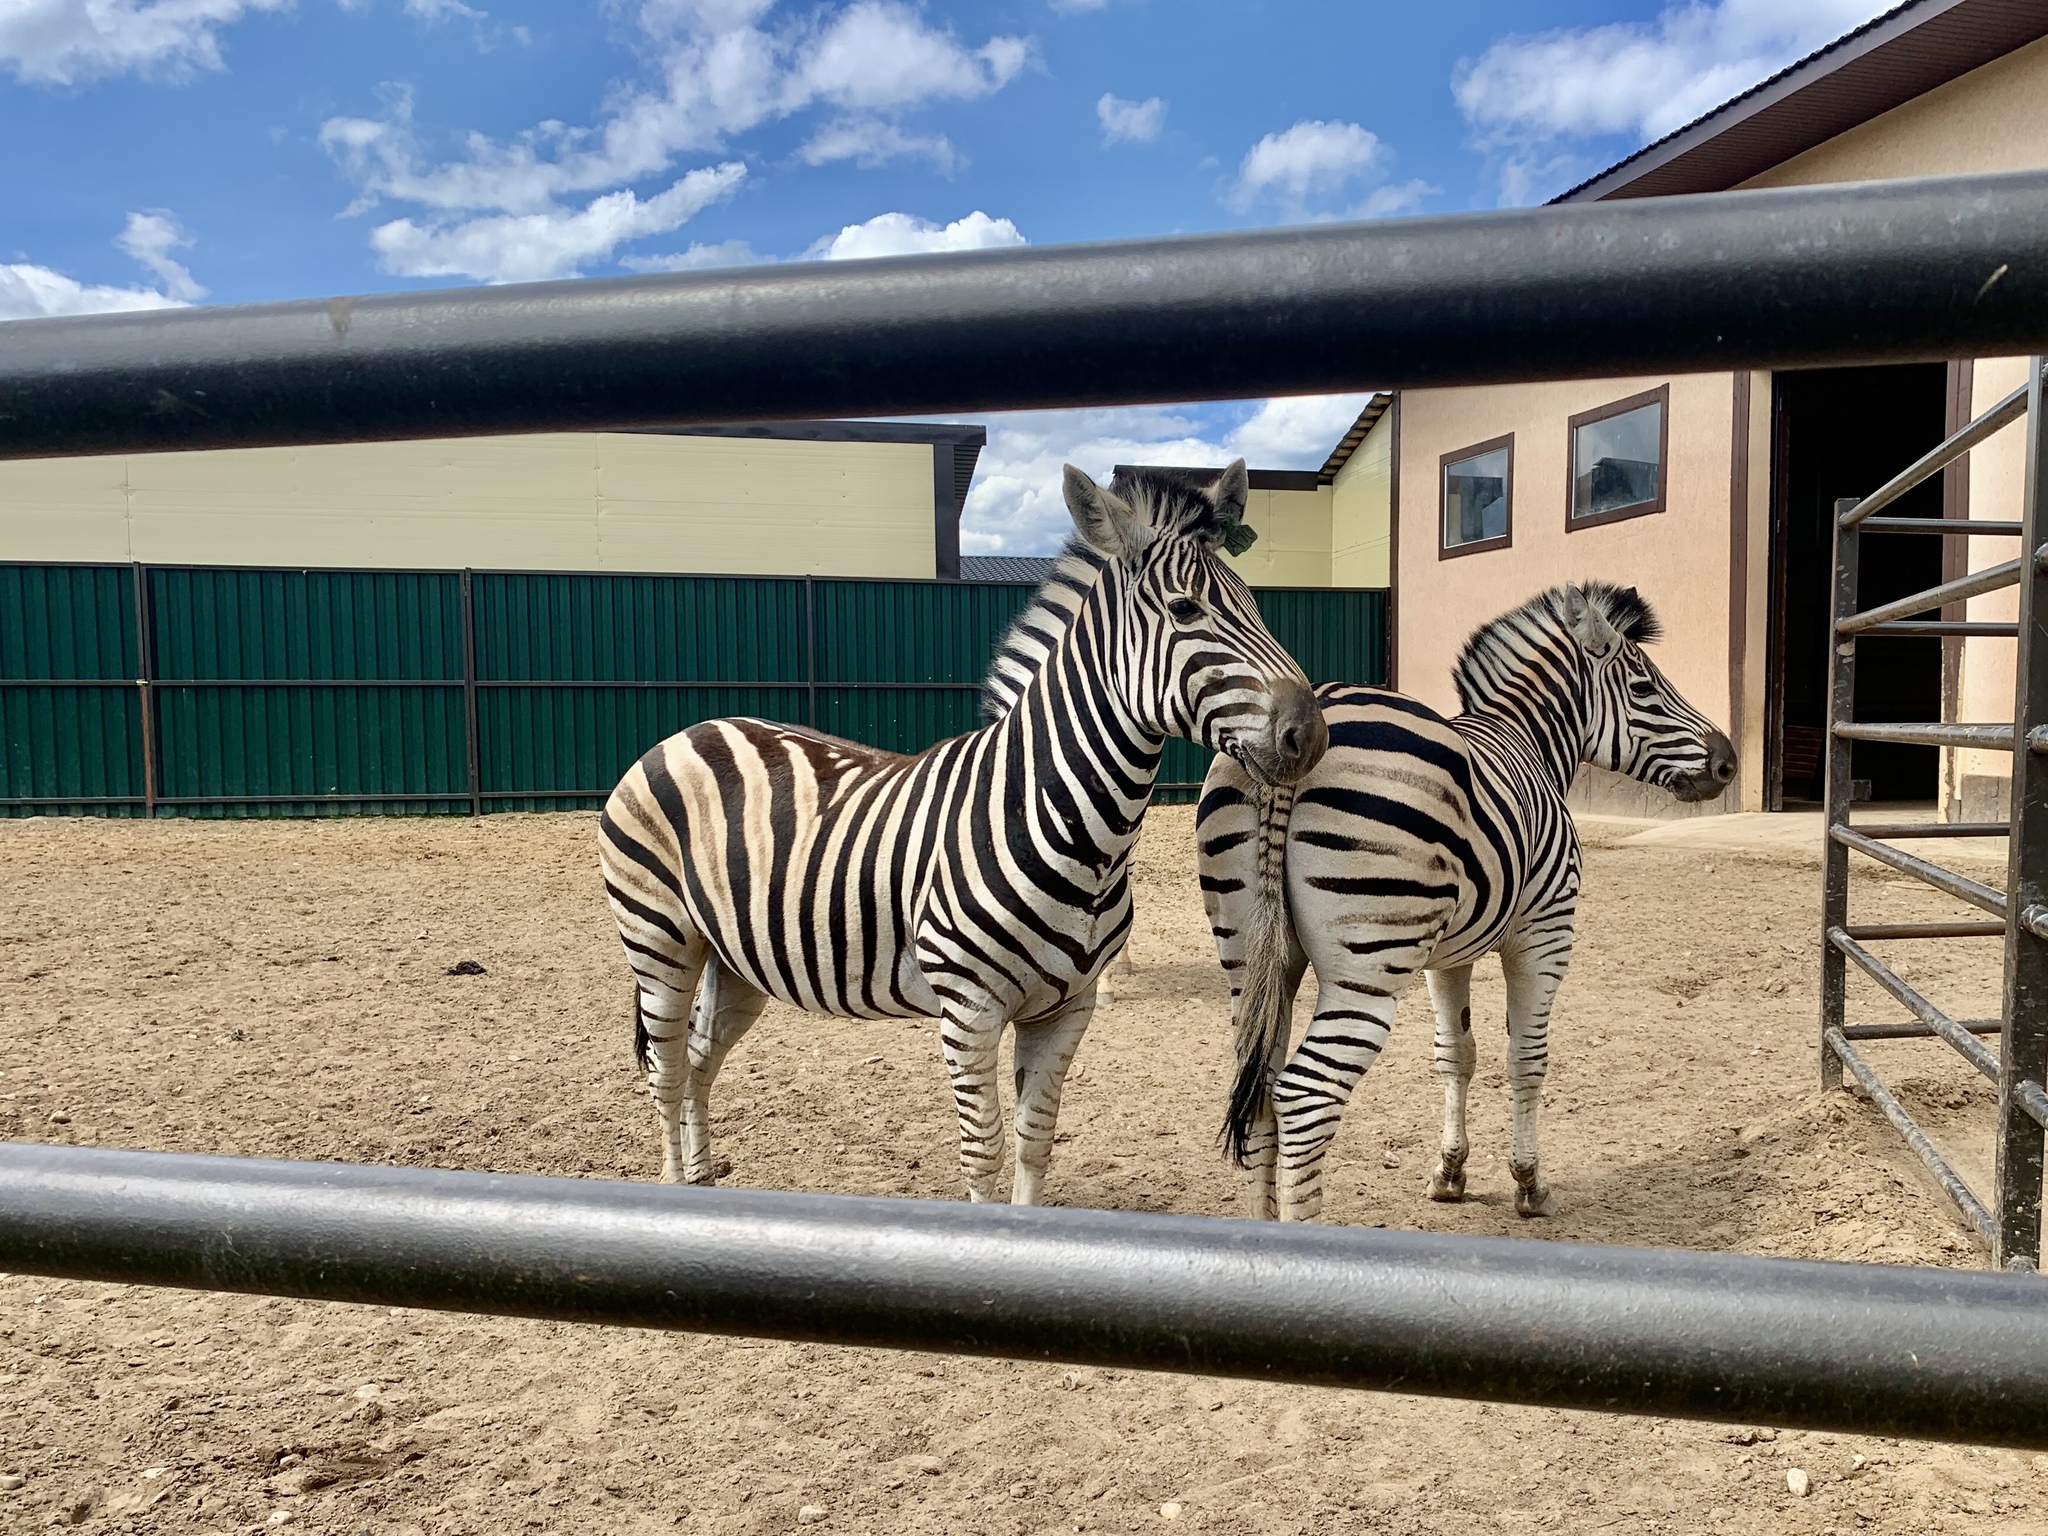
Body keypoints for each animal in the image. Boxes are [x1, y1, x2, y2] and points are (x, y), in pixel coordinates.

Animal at [598, 462, 1327, 1212]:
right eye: (1186, 611)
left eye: (1254, 603)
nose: (1312, 735)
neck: (1063, 826)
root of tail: (691, 730)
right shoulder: (969, 1008)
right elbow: (985, 1153)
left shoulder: (1068, 1008)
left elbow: (1036, 1139)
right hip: (658, 936)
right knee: (665, 1069)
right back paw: (672, 1181)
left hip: (734, 956)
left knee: (699, 1057)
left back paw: (700, 1180)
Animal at [1196, 585, 1736, 1228]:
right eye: (1644, 686)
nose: (1728, 762)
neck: (1529, 742)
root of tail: (1293, 746)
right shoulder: (1545, 935)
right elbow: (1526, 1057)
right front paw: (1529, 1184)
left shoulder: (1446, 955)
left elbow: (1455, 1054)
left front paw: (1450, 1173)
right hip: (1368, 968)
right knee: (1306, 1096)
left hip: (1253, 961)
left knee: (1259, 1088)